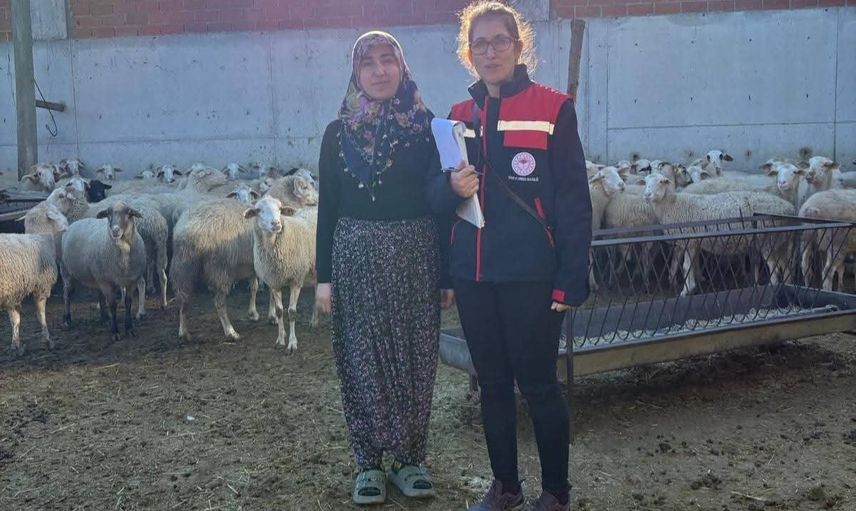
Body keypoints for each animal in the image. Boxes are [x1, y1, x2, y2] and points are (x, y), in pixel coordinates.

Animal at [0, 209, 67, 355]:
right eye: (56, 212)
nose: (68, 224)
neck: (40, 238)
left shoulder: (11, 293)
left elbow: (15, 320)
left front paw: (16, 345)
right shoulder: (42, 286)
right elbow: (40, 314)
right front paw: (47, 340)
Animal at [61, 202, 146, 341]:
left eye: (129, 213)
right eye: (108, 214)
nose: (115, 230)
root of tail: (75, 223)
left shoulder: (131, 281)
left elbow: (128, 303)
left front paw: (129, 329)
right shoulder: (107, 282)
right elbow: (112, 305)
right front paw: (115, 332)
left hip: (97, 276)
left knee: (99, 295)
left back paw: (105, 318)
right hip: (67, 272)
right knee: (67, 295)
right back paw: (67, 320)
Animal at [170, 200, 260, 341]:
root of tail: (191, 230)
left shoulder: (253, 266)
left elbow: (254, 287)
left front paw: (253, 313)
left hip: (184, 268)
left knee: (183, 299)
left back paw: (184, 332)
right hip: (220, 269)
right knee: (219, 302)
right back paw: (230, 331)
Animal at [244, 197, 317, 351]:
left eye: (279, 209)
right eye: (259, 210)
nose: (276, 224)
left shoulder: (296, 280)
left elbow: (291, 312)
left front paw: (292, 343)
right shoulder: (274, 282)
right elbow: (279, 311)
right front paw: (280, 339)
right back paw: (314, 321)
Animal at [643, 173, 795, 296]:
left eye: (661, 182)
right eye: (645, 182)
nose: (646, 195)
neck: (673, 205)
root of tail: (789, 208)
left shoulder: (690, 241)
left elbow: (686, 267)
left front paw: (685, 291)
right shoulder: (692, 243)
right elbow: (688, 266)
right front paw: (691, 287)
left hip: (767, 240)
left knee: (773, 266)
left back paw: (773, 287)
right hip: (780, 241)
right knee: (784, 265)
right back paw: (788, 285)